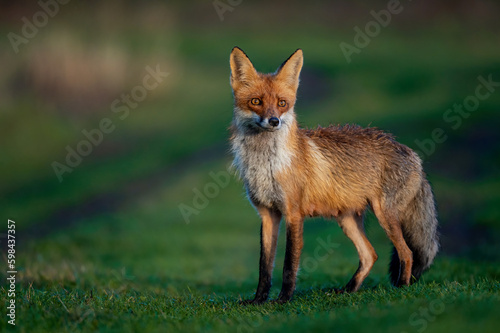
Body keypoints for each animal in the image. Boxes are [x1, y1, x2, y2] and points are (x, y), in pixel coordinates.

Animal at [229, 46, 440, 304]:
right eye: (256, 102)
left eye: (282, 103)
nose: (274, 121)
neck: (266, 165)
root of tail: (412, 153)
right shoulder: (268, 215)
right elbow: (264, 266)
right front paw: (259, 300)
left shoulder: (293, 214)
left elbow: (289, 264)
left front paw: (284, 299)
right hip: (347, 220)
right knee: (370, 255)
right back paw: (349, 290)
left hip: (385, 215)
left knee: (407, 253)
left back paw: (401, 288)